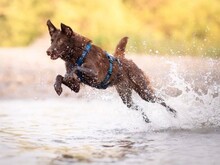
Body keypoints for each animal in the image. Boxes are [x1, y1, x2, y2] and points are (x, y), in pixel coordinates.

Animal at [46, 19, 177, 122]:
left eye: (60, 41)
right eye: (51, 40)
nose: (48, 51)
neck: (78, 55)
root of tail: (124, 59)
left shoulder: (95, 75)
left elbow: (76, 68)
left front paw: (70, 74)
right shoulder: (76, 86)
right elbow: (60, 76)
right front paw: (57, 87)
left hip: (144, 92)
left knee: (161, 100)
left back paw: (174, 113)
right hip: (126, 98)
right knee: (139, 107)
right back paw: (148, 121)